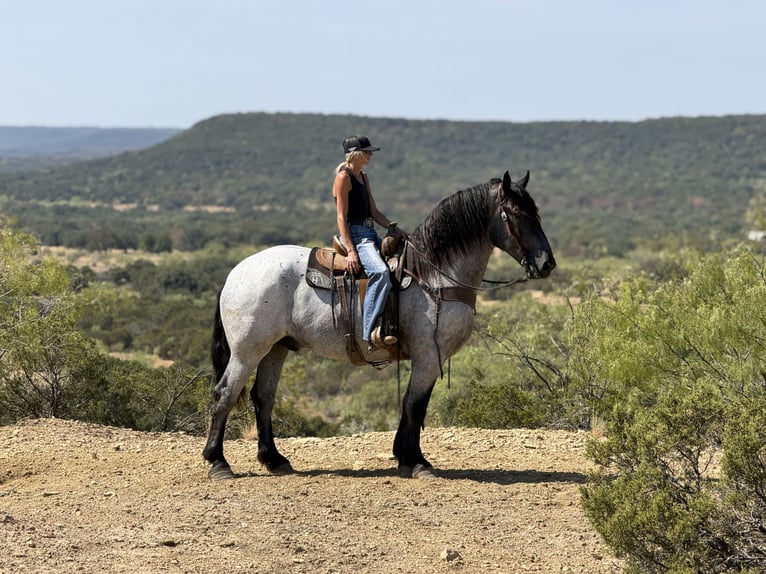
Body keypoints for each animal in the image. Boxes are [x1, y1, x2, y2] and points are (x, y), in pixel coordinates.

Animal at [202, 170, 556, 479]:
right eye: (515, 214)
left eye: (536, 212)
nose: (546, 264)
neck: (434, 275)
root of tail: (236, 272)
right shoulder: (429, 356)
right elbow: (415, 406)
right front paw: (416, 462)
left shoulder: (427, 359)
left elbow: (412, 405)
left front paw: (405, 457)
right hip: (247, 352)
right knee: (225, 394)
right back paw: (218, 462)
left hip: (275, 349)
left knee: (263, 398)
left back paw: (274, 460)